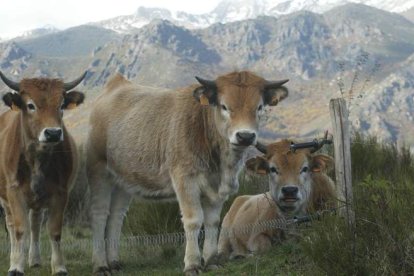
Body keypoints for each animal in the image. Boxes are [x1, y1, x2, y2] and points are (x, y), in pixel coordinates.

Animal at [0, 71, 85, 276]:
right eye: (30, 105)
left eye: (61, 105)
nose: (53, 133)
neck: (38, 159)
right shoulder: (14, 192)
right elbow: (20, 229)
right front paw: (16, 266)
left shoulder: (61, 193)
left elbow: (54, 230)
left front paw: (59, 267)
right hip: (5, 199)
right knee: (11, 224)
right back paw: (14, 258)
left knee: (35, 223)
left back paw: (35, 259)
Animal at [85, 70, 290, 274]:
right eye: (224, 106)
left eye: (259, 107)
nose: (245, 136)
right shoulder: (185, 180)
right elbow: (194, 220)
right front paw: (192, 263)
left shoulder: (218, 190)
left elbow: (212, 221)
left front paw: (210, 260)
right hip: (99, 172)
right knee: (99, 214)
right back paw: (101, 264)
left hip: (123, 181)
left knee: (116, 217)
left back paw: (114, 262)